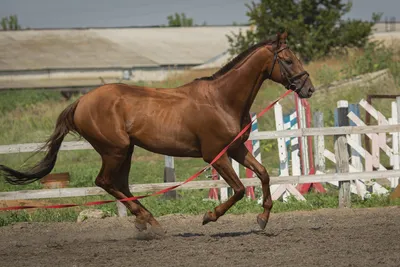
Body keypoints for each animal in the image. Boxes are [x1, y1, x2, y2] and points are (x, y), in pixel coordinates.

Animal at [0, 31, 316, 234]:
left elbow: (263, 174)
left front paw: (262, 219)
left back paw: (146, 221)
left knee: (120, 184)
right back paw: (147, 220)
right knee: (105, 182)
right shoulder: (215, 155)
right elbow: (238, 189)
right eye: (288, 60)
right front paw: (209, 216)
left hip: (125, 151)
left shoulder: (236, 149)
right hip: (114, 150)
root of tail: (81, 101)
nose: (308, 88)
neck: (221, 100)